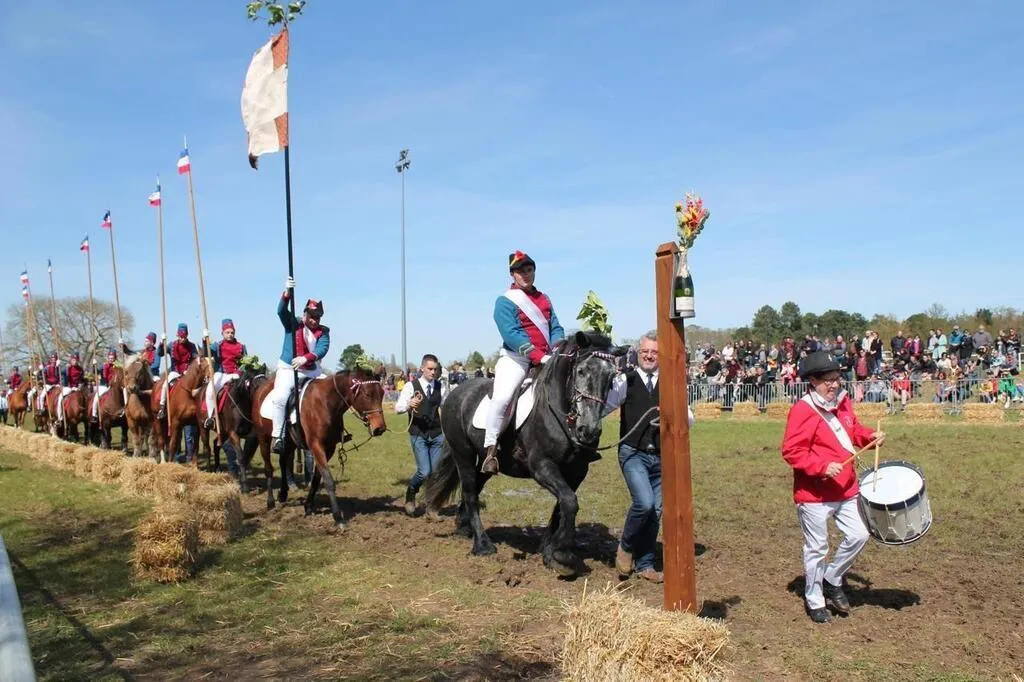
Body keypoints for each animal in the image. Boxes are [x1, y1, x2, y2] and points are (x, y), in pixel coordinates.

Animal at [247, 368, 387, 526]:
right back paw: (270, 501)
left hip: (289, 443)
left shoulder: (329, 448)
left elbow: (317, 478)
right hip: (263, 438)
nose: (380, 428)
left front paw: (308, 506)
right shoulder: (316, 445)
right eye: (368, 394)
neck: (326, 403)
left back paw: (283, 494)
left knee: (283, 463)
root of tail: (261, 388)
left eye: (382, 393)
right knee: (269, 469)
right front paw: (338, 517)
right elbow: (328, 480)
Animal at [425, 331, 626, 576]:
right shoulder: (542, 466)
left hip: (487, 463)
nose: (588, 431)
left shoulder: (577, 472)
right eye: (581, 371)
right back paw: (482, 545)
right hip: (462, 454)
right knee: (471, 494)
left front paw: (550, 552)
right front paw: (563, 555)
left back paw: (464, 528)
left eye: (611, 377)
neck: (559, 414)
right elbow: (569, 502)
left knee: (473, 488)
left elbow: (563, 505)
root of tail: (456, 394)